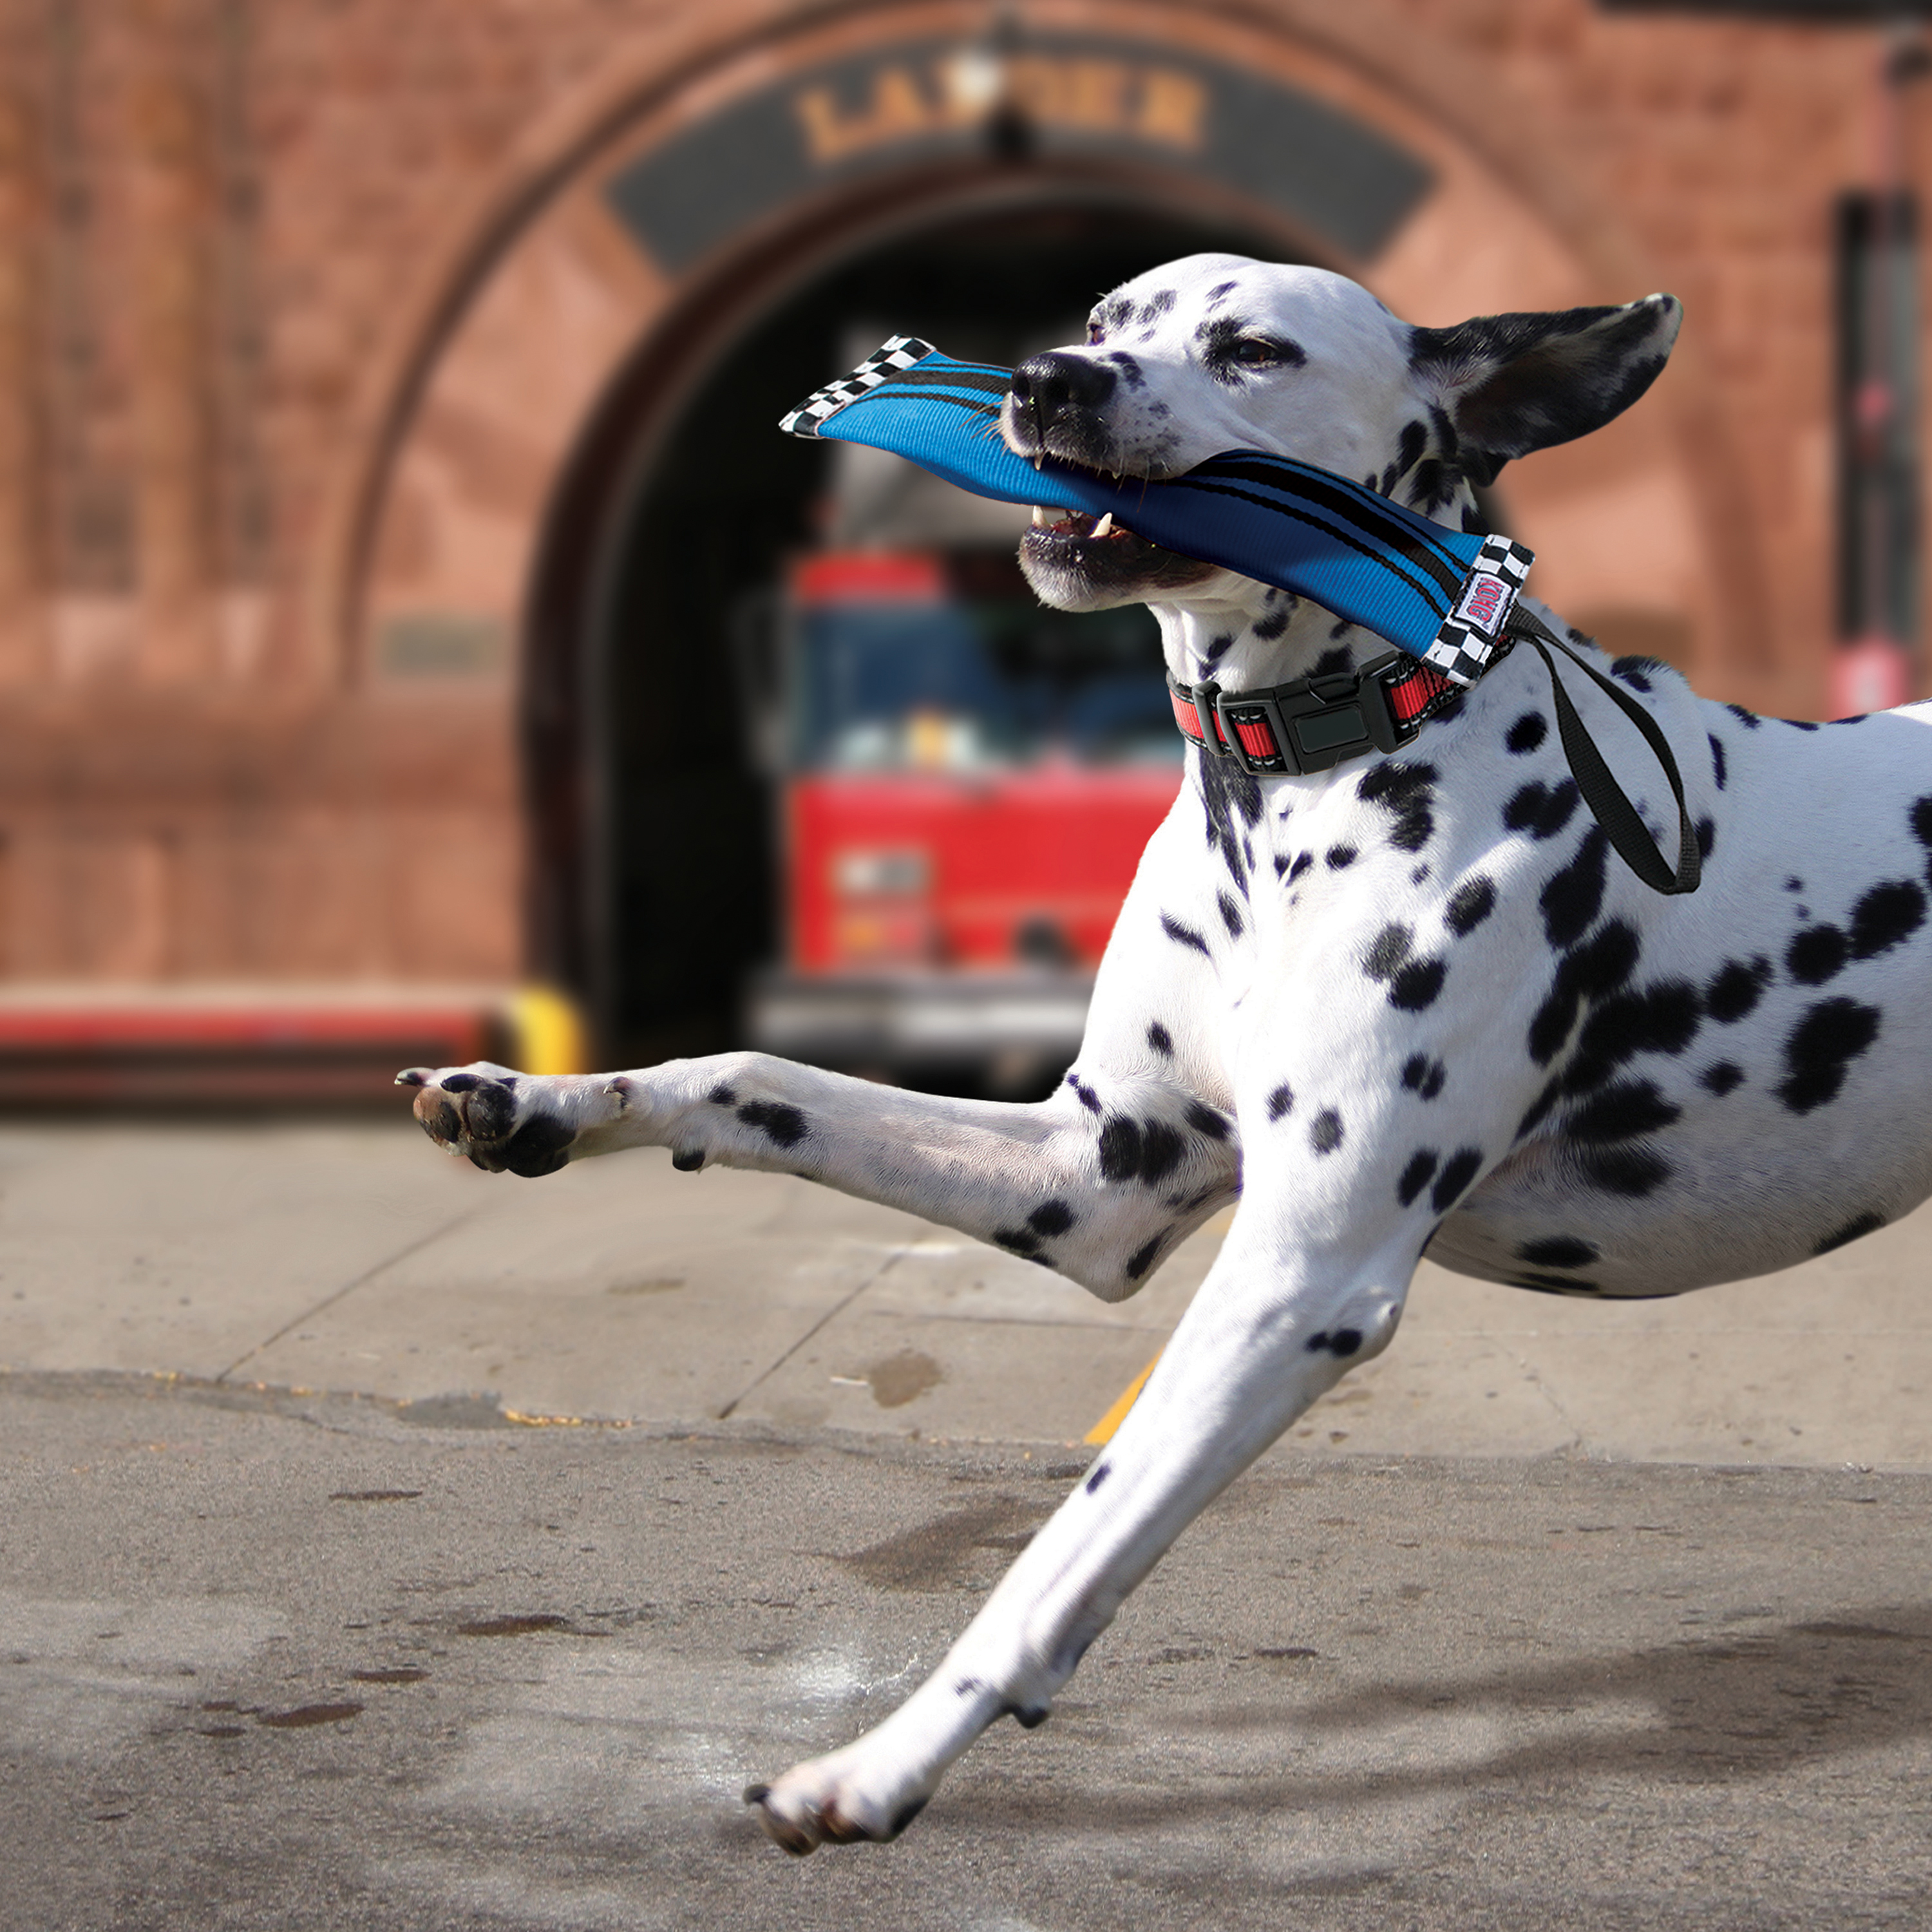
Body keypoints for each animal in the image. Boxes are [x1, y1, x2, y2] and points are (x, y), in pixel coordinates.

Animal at [396, 253, 1932, 1839]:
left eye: (1250, 349)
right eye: (1103, 319)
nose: (1043, 381)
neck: (1312, 777)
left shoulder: (1297, 1275)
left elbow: (1057, 1555)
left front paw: (881, 1759)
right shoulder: (1095, 1175)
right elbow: (756, 1077)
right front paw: (539, 1099)